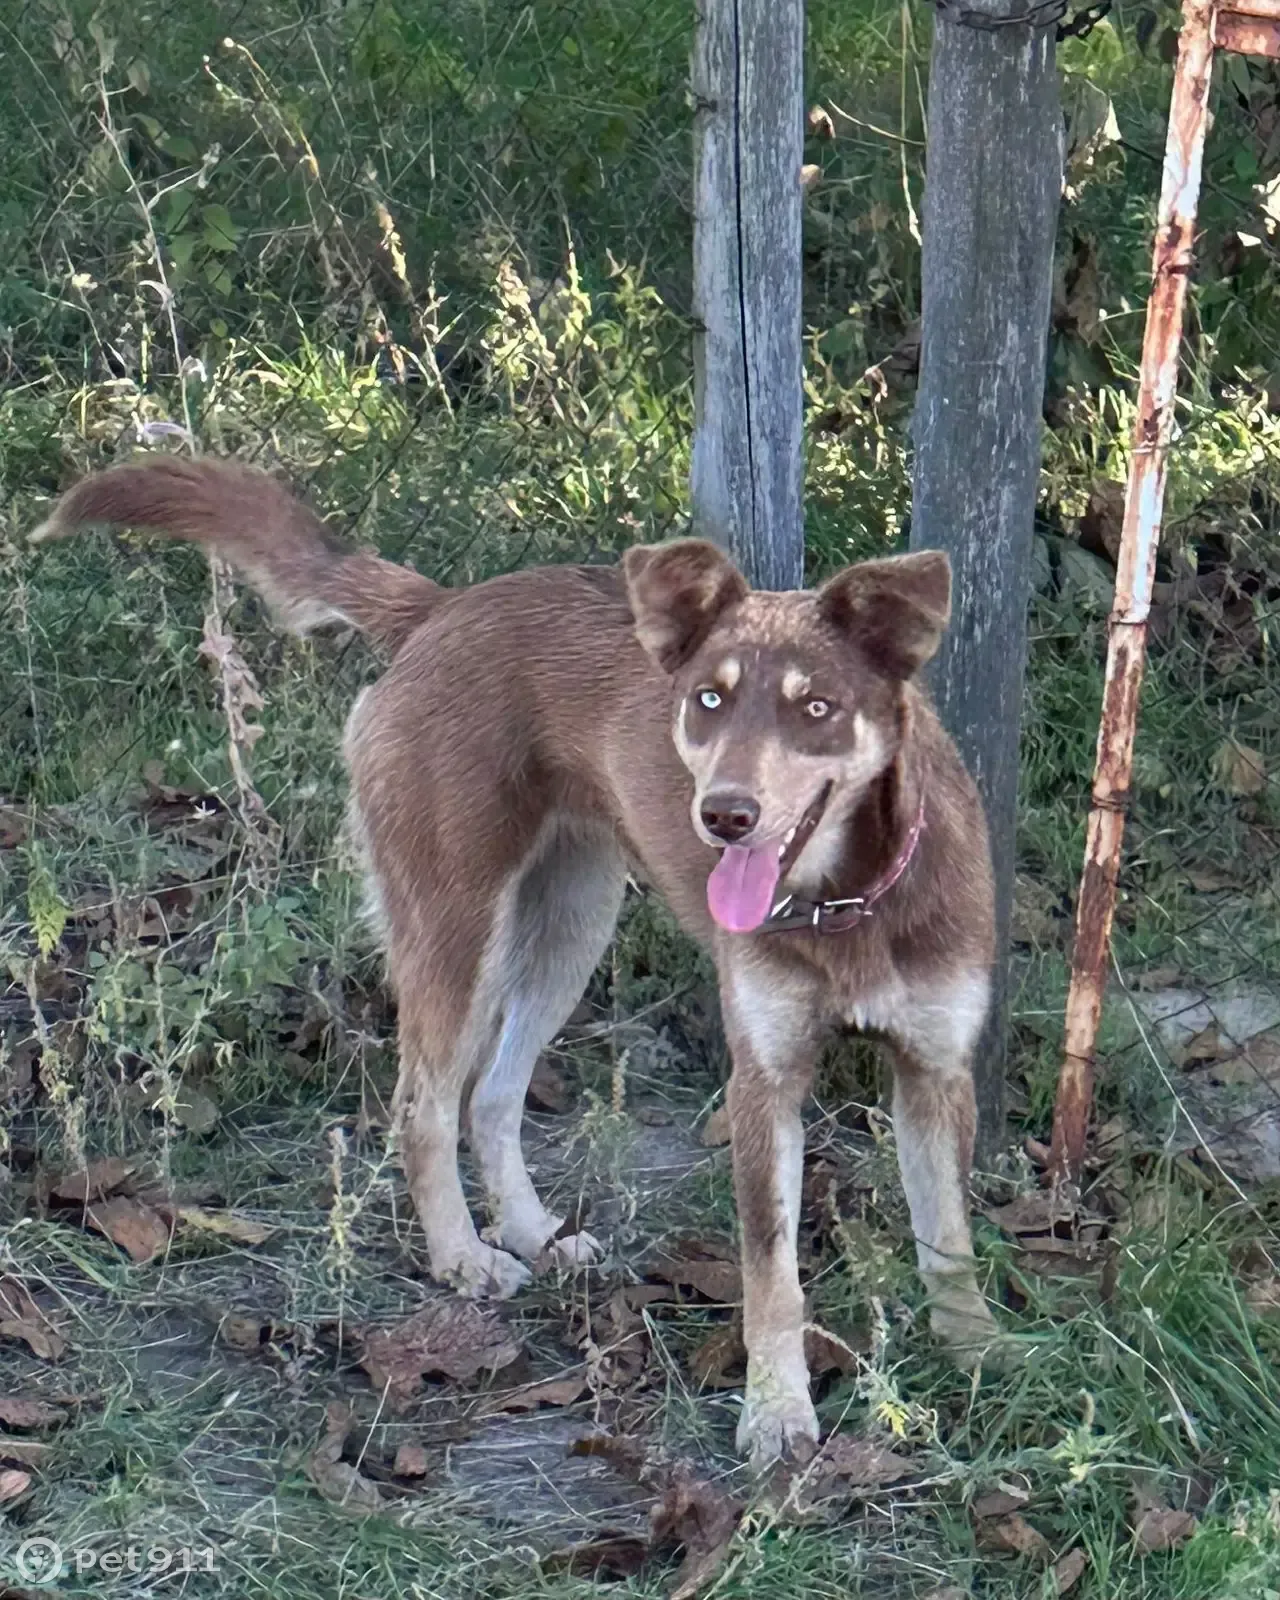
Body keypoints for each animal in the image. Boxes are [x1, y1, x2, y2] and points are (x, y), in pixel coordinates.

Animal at [32, 457, 998, 1465]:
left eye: (818, 709)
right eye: (708, 700)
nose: (724, 816)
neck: (846, 900)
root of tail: (442, 607)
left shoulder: (936, 1070)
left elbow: (949, 1235)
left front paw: (977, 1354)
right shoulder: (763, 1084)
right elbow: (773, 1273)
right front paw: (777, 1413)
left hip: (568, 926)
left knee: (493, 1095)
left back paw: (533, 1231)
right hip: (456, 927)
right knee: (423, 1106)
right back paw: (464, 1256)